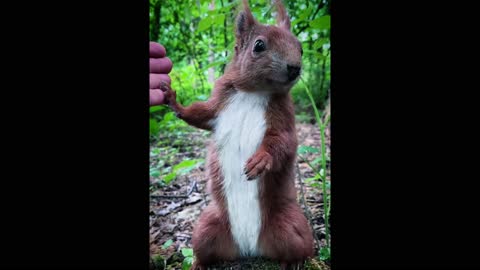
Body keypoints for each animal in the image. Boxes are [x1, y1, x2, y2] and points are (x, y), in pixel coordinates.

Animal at [162, 0, 316, 268]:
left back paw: (294, 263)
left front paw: (261, 159)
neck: (254, 92)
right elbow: (200, 114)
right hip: (206, 227)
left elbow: (283, 141)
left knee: (300, 248)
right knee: (203, 248)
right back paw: (197, 263)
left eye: (301, 47)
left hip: (290, 225)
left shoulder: (284, 117)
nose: (295, 68)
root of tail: (249, 248)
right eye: (259, 45)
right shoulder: (218, 107)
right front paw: (174, 102)